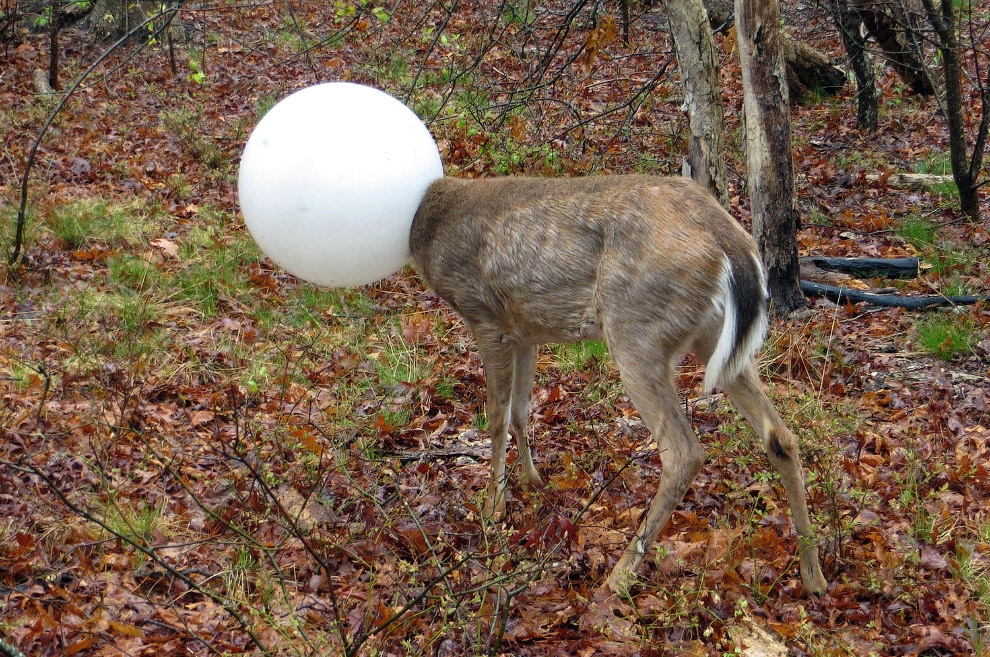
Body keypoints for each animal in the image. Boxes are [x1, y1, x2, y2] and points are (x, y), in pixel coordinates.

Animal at [408, 174, 828, 596]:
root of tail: (731, 238)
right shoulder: (524, 329)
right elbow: (521, 410)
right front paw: (533, 481)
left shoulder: (484, 315)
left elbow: (496, 417)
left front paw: (491, 509)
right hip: (712, 337)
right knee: (780, 435)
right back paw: (814, 575)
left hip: (636, 329)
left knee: (684, 452)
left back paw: (619, 575)